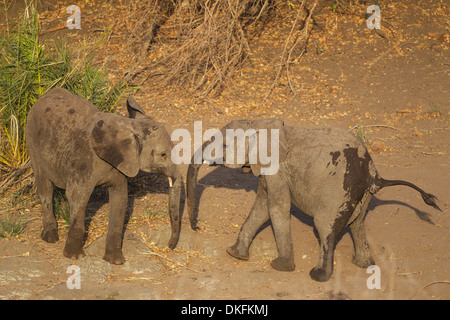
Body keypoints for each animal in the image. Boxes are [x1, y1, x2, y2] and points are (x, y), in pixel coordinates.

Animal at [24, 88, 182, 264]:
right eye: (163, 154)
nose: (169, 245)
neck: (129, 125)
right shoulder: (85, 160)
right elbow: (77, 197)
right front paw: (74, 257)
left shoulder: (121, 164)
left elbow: (120, 200)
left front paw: (116, 261)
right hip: (31, 140)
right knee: (45, 187)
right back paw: (50, 238)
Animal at [185, 119, 440, 282]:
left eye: (224, 146)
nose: (196, 227)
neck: (259, 123)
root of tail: (374, 175)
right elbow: (261, 207)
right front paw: (235, 254)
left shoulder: (277, 171)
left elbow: (276, 208)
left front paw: (281, 267)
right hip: (362, 195)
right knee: (357, 224)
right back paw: (363, 265)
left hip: (338, 190)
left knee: (325, 226)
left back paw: (318, 276)